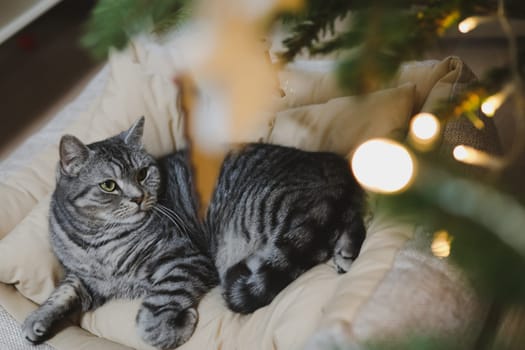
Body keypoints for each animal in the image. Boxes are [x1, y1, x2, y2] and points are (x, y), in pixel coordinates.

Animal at [22, 118, 217, 350]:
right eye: (109, 185)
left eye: (142, 174)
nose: (138, 197)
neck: (98, 242)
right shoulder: (87, 282)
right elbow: (63, 291)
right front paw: (37, 318)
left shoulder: (183, 257)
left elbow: (156, 311)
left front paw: (176, 327)